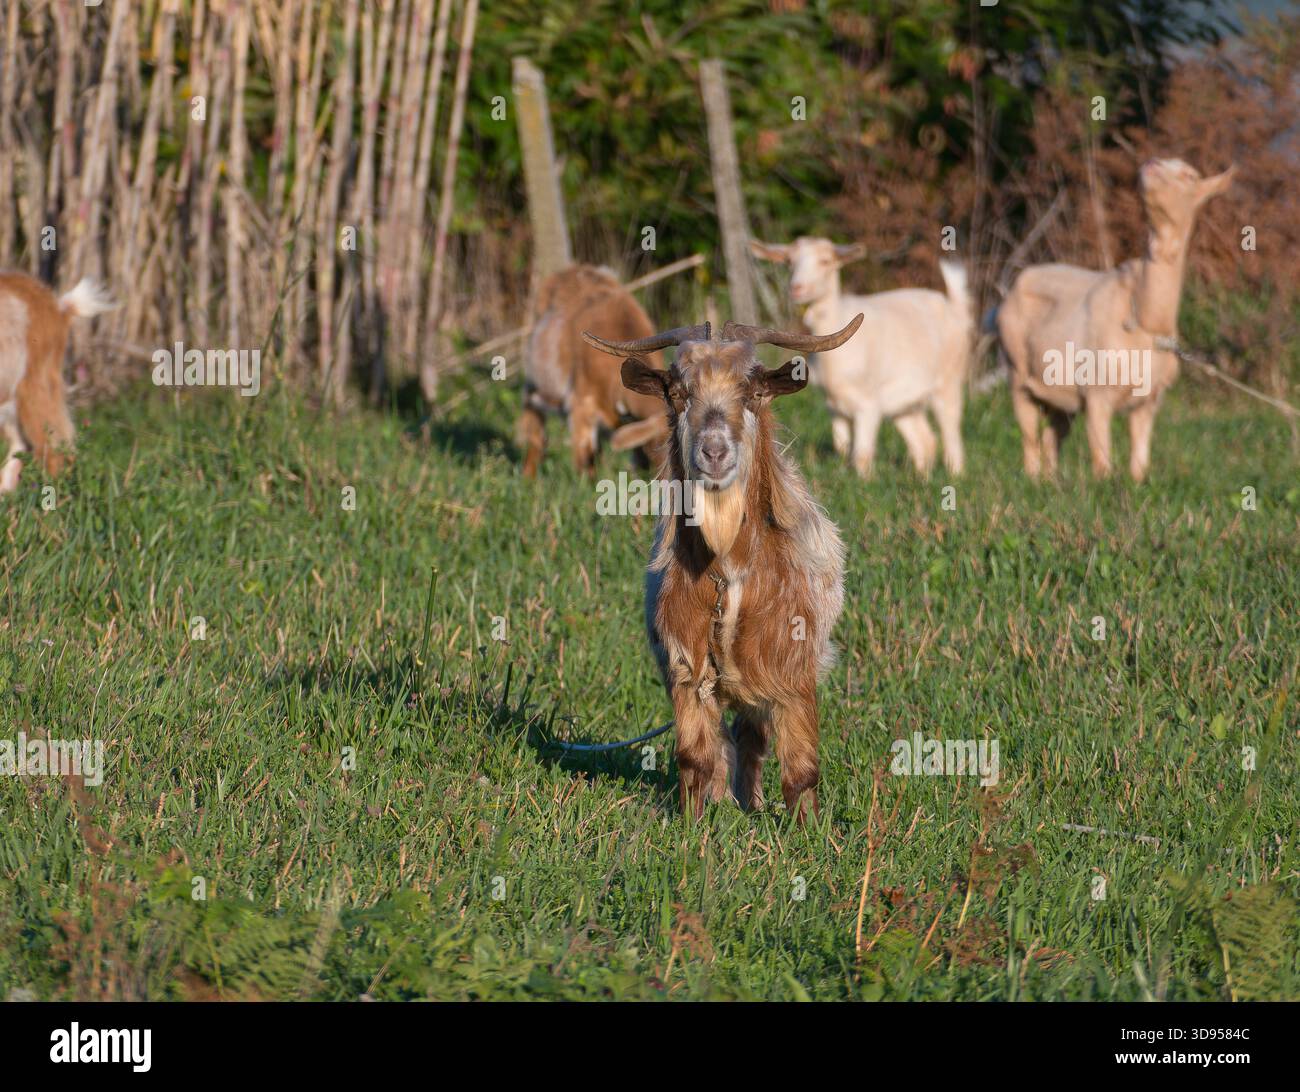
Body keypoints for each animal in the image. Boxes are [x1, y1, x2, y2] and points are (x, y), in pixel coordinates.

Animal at [583, 312, 862, 822]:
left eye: (752, 390)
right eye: (678, 392)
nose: (714, 451)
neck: (728, 574)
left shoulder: (790, 671)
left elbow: (801, 769)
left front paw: (809, 832)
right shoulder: (686, 668)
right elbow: (696, 758)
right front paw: (696, 825)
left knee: (752, 740)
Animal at [752, 237, 971, 477]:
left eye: (825, 261)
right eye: (789, 262)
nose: (797, 288)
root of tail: (953, 306)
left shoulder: (868, 404)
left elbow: (862, 454)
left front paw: (865, 481)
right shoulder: (834, 405)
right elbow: (842, 447)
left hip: (949, 380)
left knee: (950, 431)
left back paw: (956, 474)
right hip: (904, 400)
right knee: (924, 440)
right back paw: (921, 479)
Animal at [995, 158, 1234, 481]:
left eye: (1190, 175)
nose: (1151, 163)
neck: (1146, 320)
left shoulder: (1150, 400)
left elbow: (1140, 455)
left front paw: (1137, 482)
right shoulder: (1097, 393)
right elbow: (1101, 457)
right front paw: (1104, 486)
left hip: (1060, 393)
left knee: (1051, 435)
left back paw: (1051, 482)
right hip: (1016, 369)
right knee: (1030, 435)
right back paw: (1033, 481)